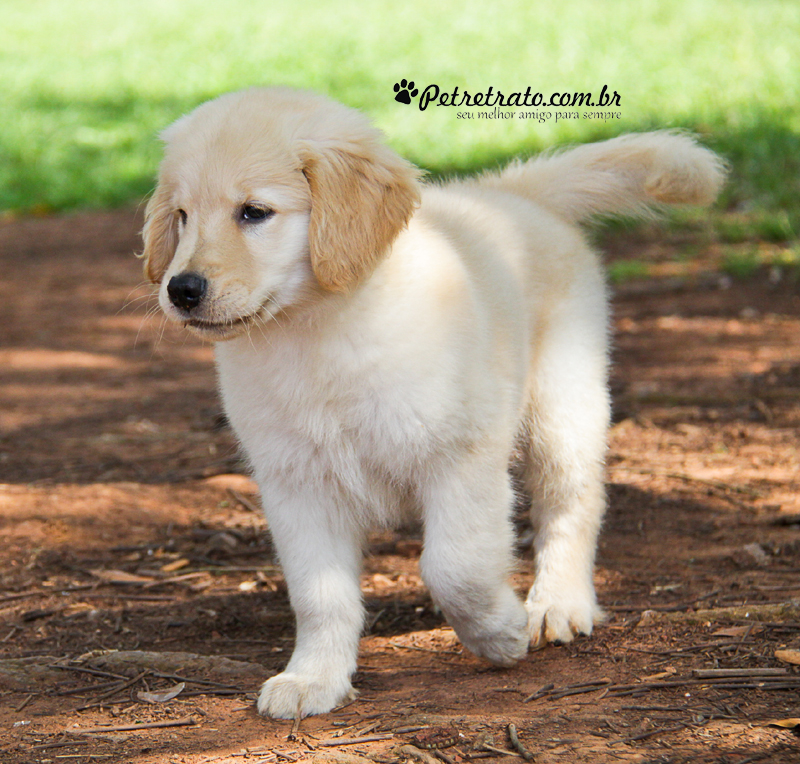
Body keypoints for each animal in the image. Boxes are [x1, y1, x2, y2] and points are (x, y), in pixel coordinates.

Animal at [142, 86, 724, 720]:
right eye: (182, 216)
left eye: (254, 212)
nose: (181, 290)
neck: (317, 332)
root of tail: (512, 195)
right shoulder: (297, 482)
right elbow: (320, 594)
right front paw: (314, 678)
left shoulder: (462, 456)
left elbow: (454, 567)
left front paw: (499, 633)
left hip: (562, 408)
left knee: (574, 503)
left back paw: (558, 602)